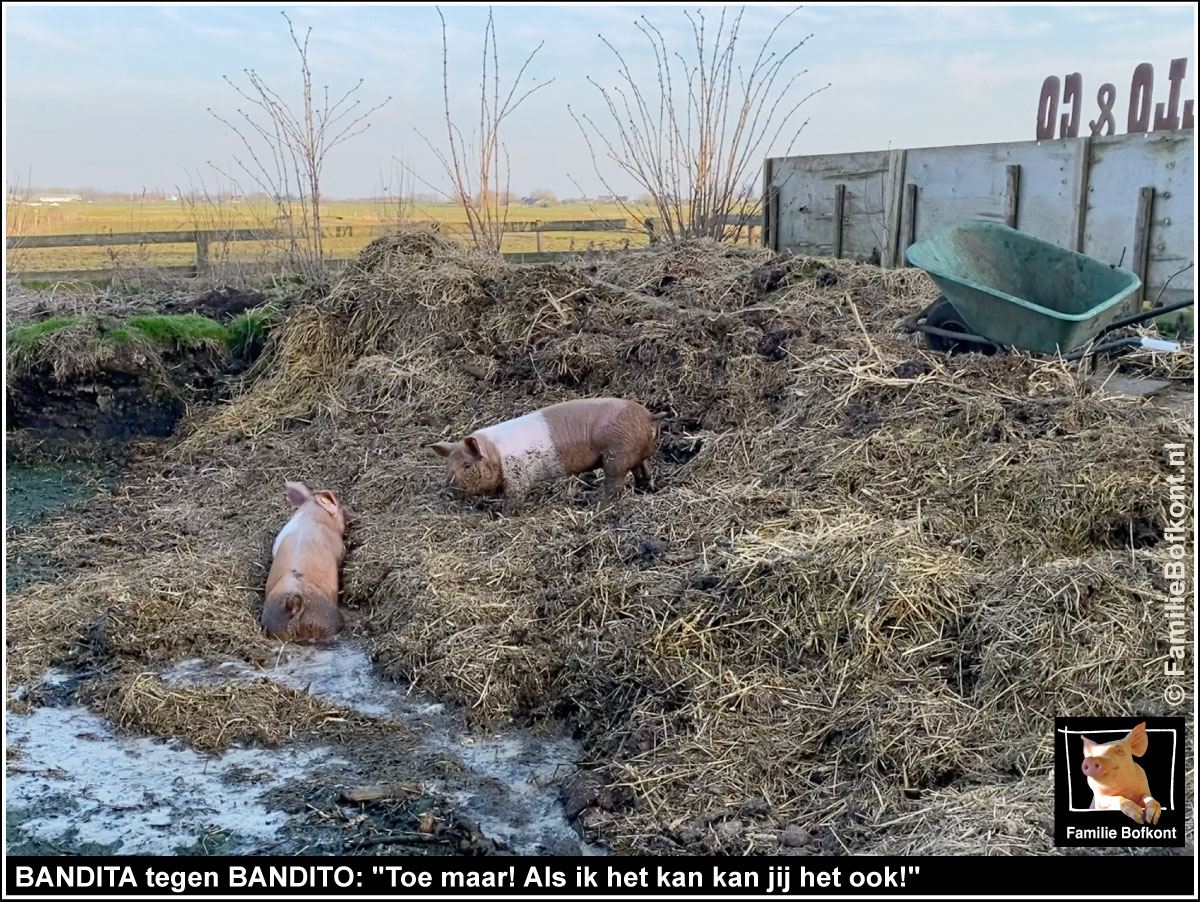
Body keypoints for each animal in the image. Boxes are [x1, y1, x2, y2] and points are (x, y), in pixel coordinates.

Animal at [429, 393, 667, 508]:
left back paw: (598, 506)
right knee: (642, 471)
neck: (495, 454)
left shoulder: (518, 475)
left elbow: (515, 498)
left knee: (615, 485)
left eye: (467, 465)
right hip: (634, 454)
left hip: (616, 455)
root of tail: (649, 416)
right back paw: (645, 490)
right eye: (449, 466)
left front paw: (502, 515)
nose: (446, 492)